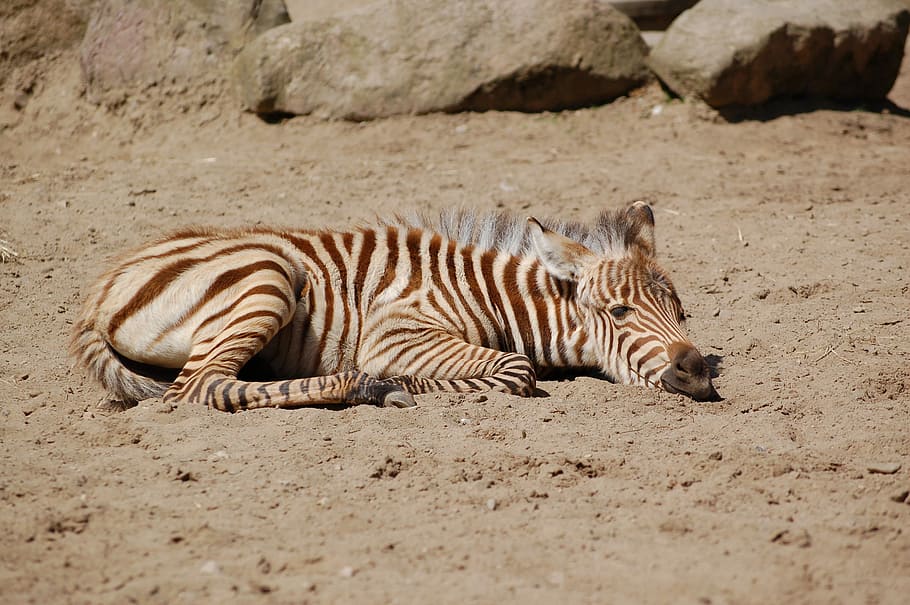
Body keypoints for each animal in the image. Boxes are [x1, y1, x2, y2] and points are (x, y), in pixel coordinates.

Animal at [70, 201, 719, 411]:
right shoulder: (396, 331)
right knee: (198, 388)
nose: (694, 368)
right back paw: (363, 386)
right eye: (619, 313)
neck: (491, 296)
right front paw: (396, 381)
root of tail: (102, 285)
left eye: (681, 313)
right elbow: (516, 369)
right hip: (267, 277)